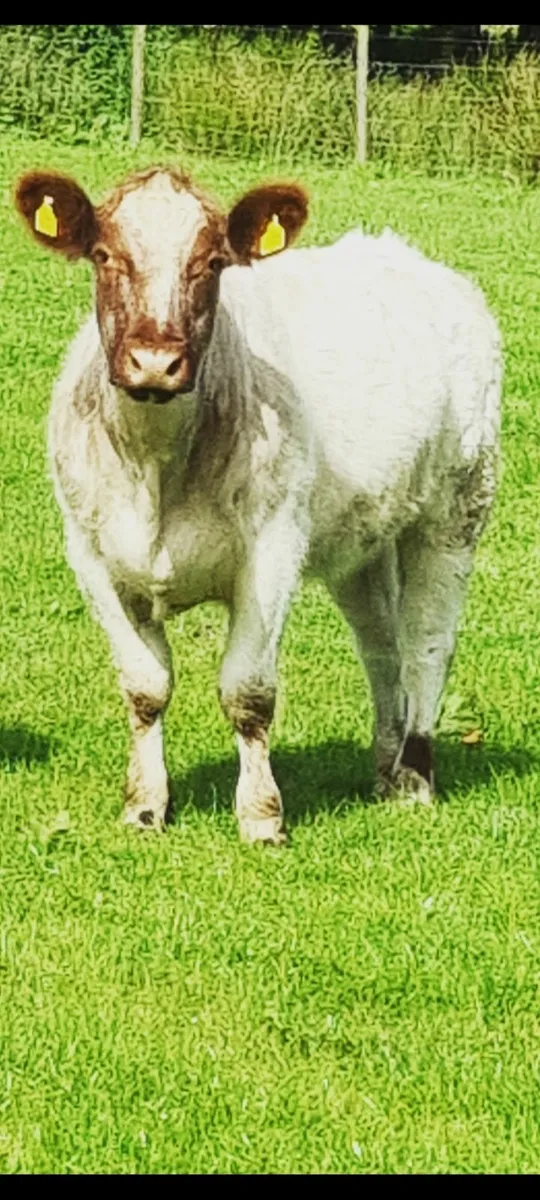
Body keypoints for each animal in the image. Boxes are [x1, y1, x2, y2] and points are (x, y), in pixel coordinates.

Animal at [15, 166, 502, 845]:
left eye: (213, 262)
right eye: (105, 255)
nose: (155, 362)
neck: (156, 472)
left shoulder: (272, 548)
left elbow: (247, 691)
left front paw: (262, 815)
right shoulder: (91, 555)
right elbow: (144, 687)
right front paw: (144, 806)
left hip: (456, 507)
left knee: (427, 643)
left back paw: (413, 777)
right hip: (362, 538)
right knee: (381, 646)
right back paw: (385, 766)